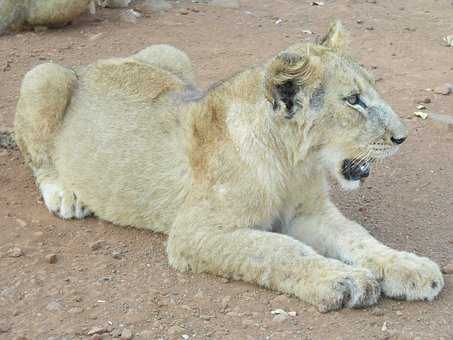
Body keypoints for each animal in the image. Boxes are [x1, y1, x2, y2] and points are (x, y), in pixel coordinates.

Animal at [15, 22, 444, 312]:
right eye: (354, 100)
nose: (403, 137)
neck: (293, 162)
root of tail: (94, 63)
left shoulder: (311, 212)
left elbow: (357, 237)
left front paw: (410, 267)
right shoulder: (194, 232)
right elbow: (279, 249)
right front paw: (344, 278)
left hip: (171, 53)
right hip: (43, 77)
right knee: (38, 158)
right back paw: (65, 195)